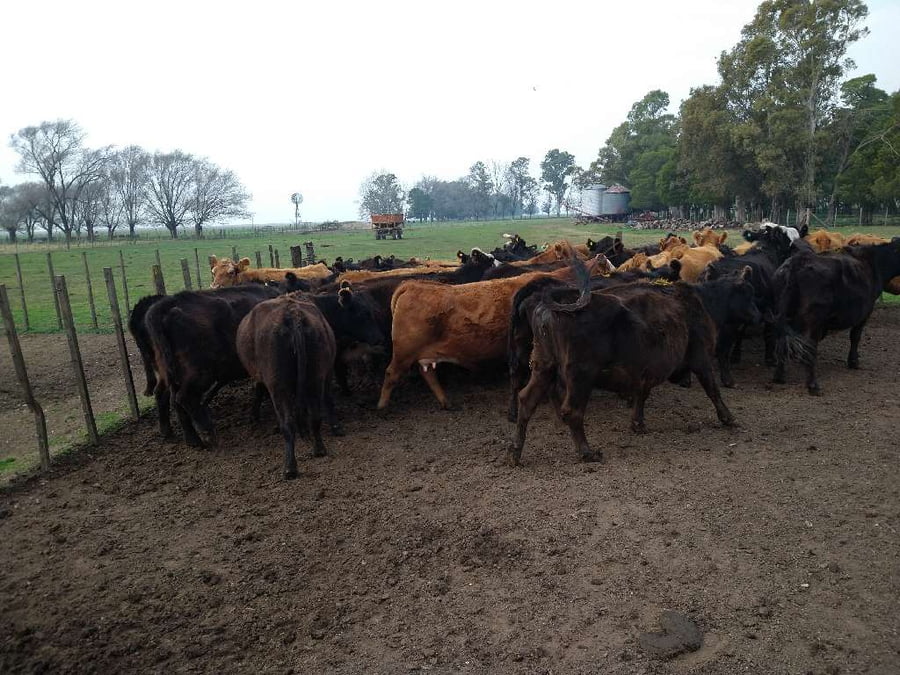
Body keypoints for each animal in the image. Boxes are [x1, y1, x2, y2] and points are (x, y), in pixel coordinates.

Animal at [236, 294, 337, 479]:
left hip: (279, 385)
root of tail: (293, 314)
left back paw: (290, 467)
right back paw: (318, 448)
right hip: (315, 378)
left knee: (288, 424)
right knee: (315, 416)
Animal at [376, 256, 612, 411]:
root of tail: (413, 285)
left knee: (428, 374)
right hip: (404, 353)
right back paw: (382, 406)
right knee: (390, 373)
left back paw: (446, 402)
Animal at [509, 278, 735, 465]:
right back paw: (587, 453)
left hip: (543, 367)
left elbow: (641, 394)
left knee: (526, 400)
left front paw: (638, 424)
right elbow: (712, 389)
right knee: (572, 411)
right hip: (581, 376)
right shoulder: (701, 359)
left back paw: (515, 453)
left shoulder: (645, 372)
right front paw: (728, 417)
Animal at [772, 238, 900, 395]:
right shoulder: (864, 314)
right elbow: (855, 337)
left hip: (781, 314)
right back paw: (812, 385)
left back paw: (779, 376)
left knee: (781, 341)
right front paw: (853, 362)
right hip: (813, 321)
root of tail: (798, 261)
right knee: (809, 347)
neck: (874, 262)